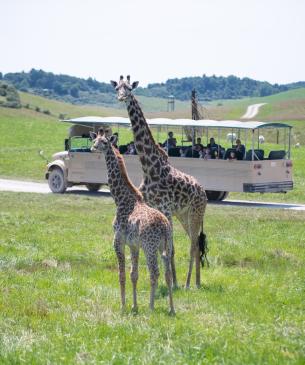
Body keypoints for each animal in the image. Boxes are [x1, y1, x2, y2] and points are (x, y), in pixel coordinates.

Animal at [91, 134, 175, 312]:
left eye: (104, 142)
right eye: (94, 140)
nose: (93, 148)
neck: (121, 199)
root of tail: (165, 227)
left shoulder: (118, 240)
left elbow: (121, 274)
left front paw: (122, 306)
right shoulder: (133, 245)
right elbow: (133, 275)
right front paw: (134, 306)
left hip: (150, 246)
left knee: (154, 272)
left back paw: (151, 307)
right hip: (166, 245)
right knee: (167, 273)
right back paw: (171, 308)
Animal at [110, 76, 208, 288]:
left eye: (129, 88)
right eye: (117, 87)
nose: (121, 97)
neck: (148, 167)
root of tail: (204, 193)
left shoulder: (165, 208)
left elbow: (170, 248)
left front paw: (174, 284)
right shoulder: (156, 208)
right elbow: (168, 247)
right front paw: (171, 281)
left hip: (195, 213)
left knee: (193, 244)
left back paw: (189, 283)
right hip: (184, 215)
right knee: (195, 243)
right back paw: (195, 282)